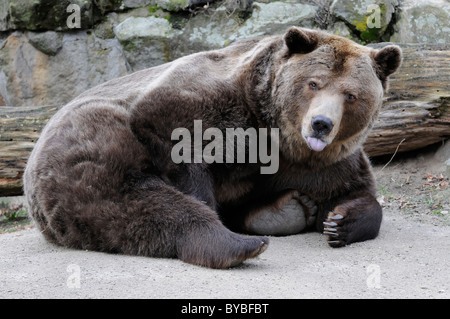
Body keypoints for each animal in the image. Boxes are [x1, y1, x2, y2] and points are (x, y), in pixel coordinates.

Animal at [22, 26, 400, 268]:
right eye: (313, 83)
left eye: (350, 95)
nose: (321, 123)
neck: (275, 131)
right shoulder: (211, 103)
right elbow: (171, 132)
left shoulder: (317, 161)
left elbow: (354, 189)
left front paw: (340, 221)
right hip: (88, 147)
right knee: (140, 201)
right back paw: (240, 244)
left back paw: (285, 211)